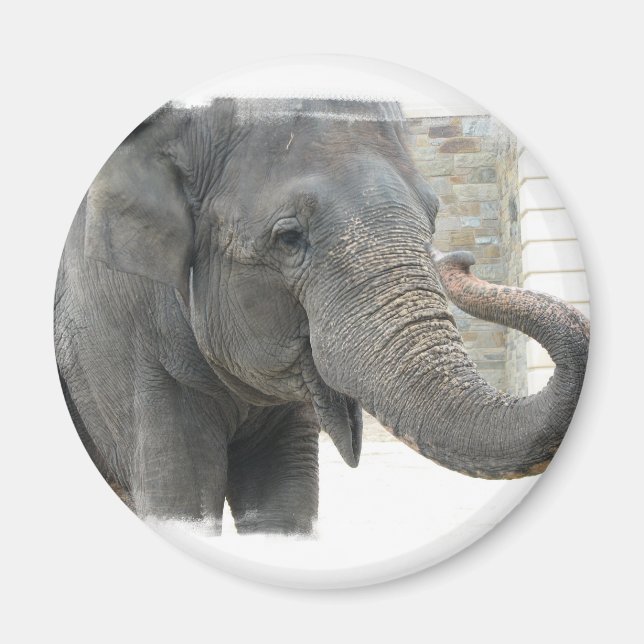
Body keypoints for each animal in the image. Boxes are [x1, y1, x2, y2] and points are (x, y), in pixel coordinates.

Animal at [54, 98, 590, 535]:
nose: (461, 259)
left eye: (433, 216)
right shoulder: (118, 334)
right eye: (289, 237)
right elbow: (179, 497)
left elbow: (284, 501)